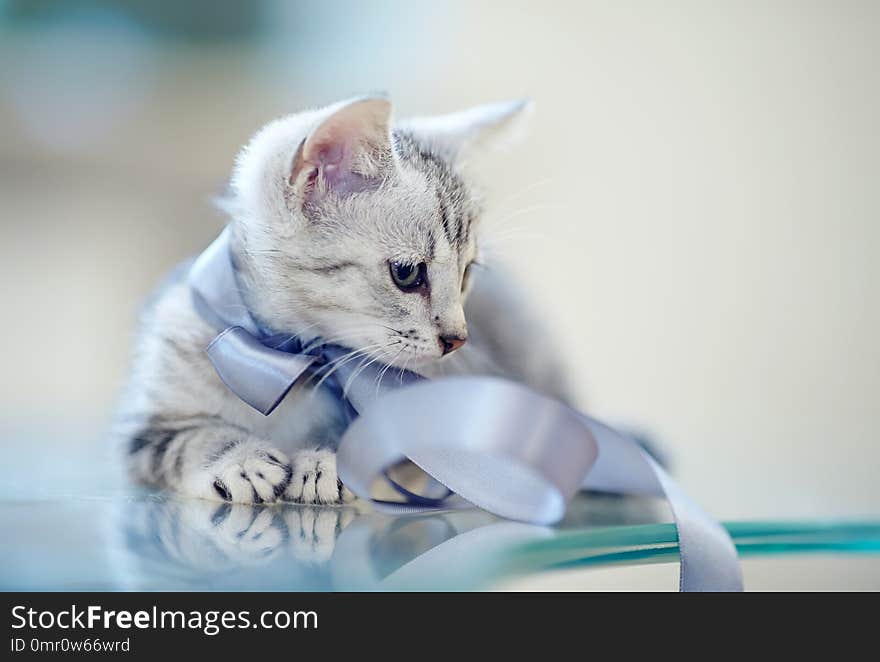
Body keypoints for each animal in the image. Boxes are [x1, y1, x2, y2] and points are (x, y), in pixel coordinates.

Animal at [120, 94, 568, 508]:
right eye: (407, 273)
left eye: (467, 273)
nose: (458, 338)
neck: (294, 361)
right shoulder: (142, 427)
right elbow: (187, 440)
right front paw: (238, 459)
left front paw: (325, 459)